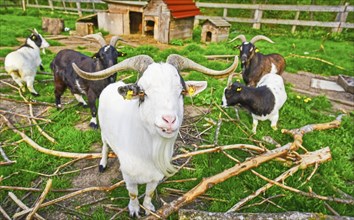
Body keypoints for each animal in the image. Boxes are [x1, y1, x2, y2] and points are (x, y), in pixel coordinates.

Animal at [72, 53, 238, 217]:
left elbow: (149, 192)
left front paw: (148, 208)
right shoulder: (129, 177)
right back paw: (103, 163)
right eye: (142, 92)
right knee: (105, 145)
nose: (169, 120)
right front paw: (134, 210)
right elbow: (133, 194)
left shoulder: (156, 176)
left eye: (182, 92)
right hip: (104, 132)